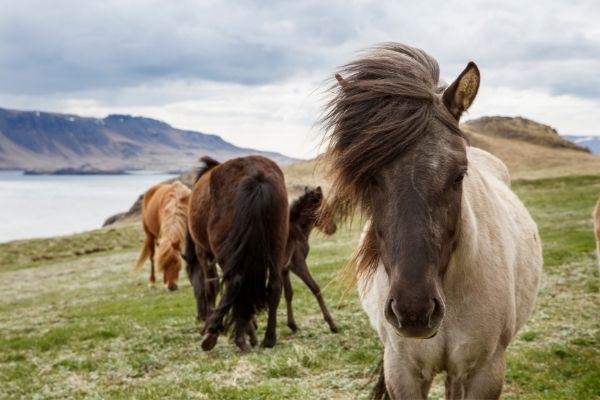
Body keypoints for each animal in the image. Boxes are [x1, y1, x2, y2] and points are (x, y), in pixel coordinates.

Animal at [186, 155, 290, 352]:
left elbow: (212, 287)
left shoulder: (204, 253)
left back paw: (222, 335)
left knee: (235, 283)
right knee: (274, 285)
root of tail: (257, 175)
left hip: (227, 252)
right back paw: (268, 339)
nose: (199, 315)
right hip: (277, 245)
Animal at [284, 187, 340, 334]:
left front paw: (292, 325)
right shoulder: (298, 265)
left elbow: (288, 293)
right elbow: (316, 288)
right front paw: (332, 325)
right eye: (325, 209)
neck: (296, 231)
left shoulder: (285, 269)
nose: (333, 228)